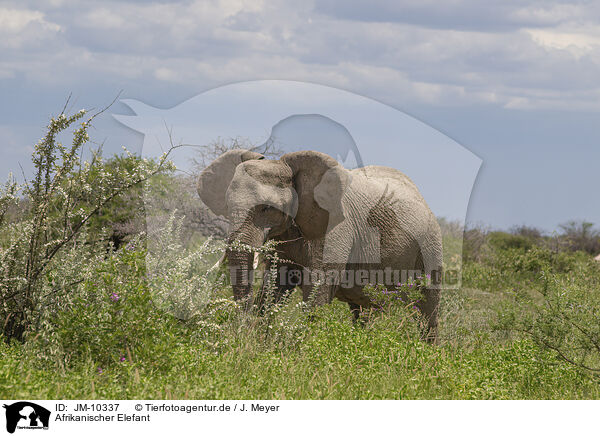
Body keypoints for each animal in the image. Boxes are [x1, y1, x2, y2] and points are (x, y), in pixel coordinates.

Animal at [198, 148, 446, 338]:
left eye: (267, 208)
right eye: (227, 205)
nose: (243, 328)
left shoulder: (336, 226)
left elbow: (318, 286)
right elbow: (276, 283)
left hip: (429, 246)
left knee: (427, 310)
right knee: (363, 311)